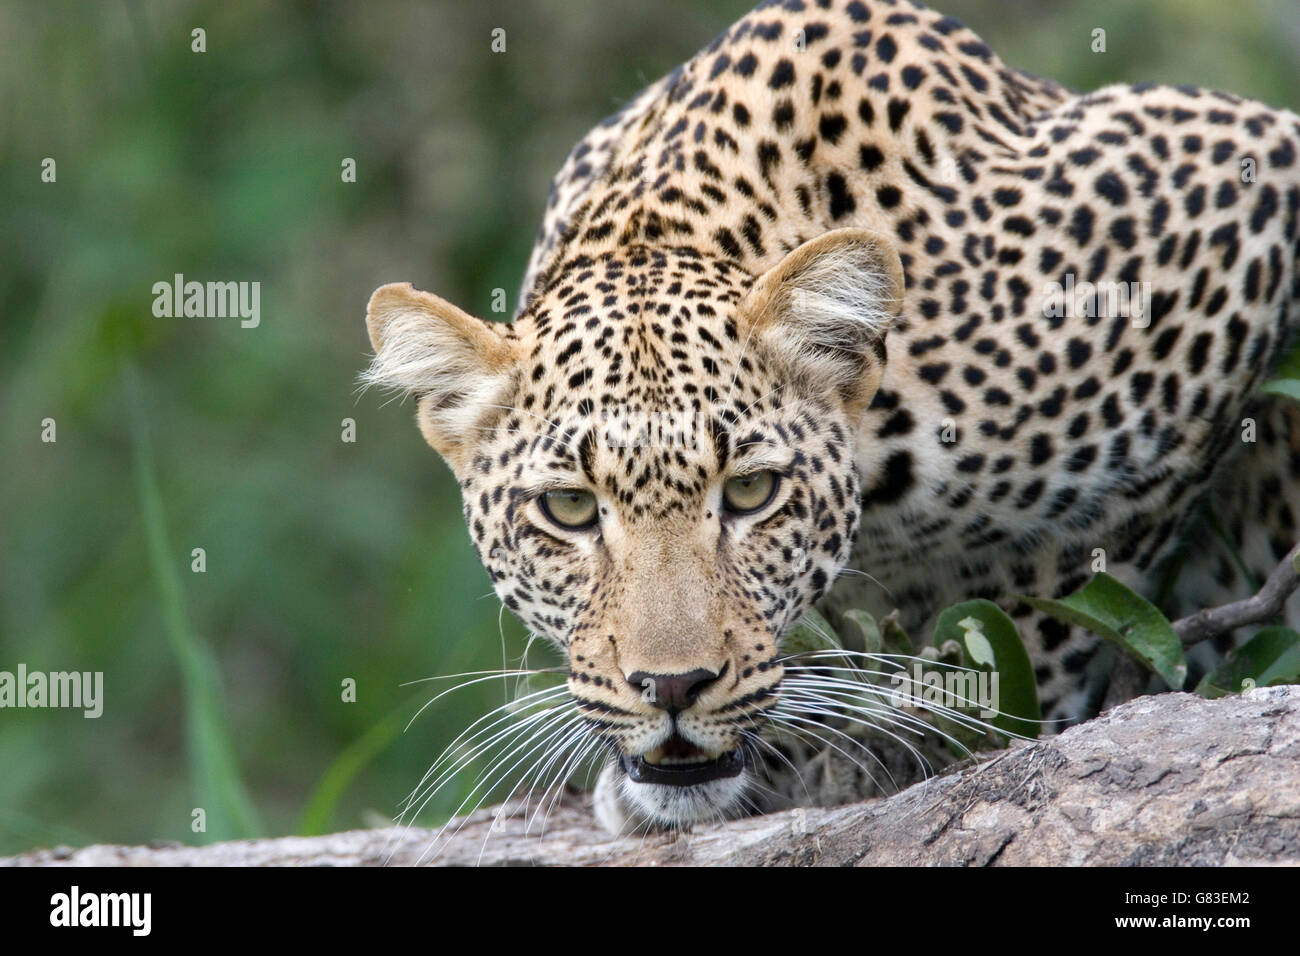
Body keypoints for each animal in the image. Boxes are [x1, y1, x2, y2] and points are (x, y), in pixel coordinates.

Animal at [363, 0, 1300, 836]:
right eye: (567, 509)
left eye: (751, 494)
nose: (673, 687)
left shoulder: (1236, 198)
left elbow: (1049, 610)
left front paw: (914, 746)